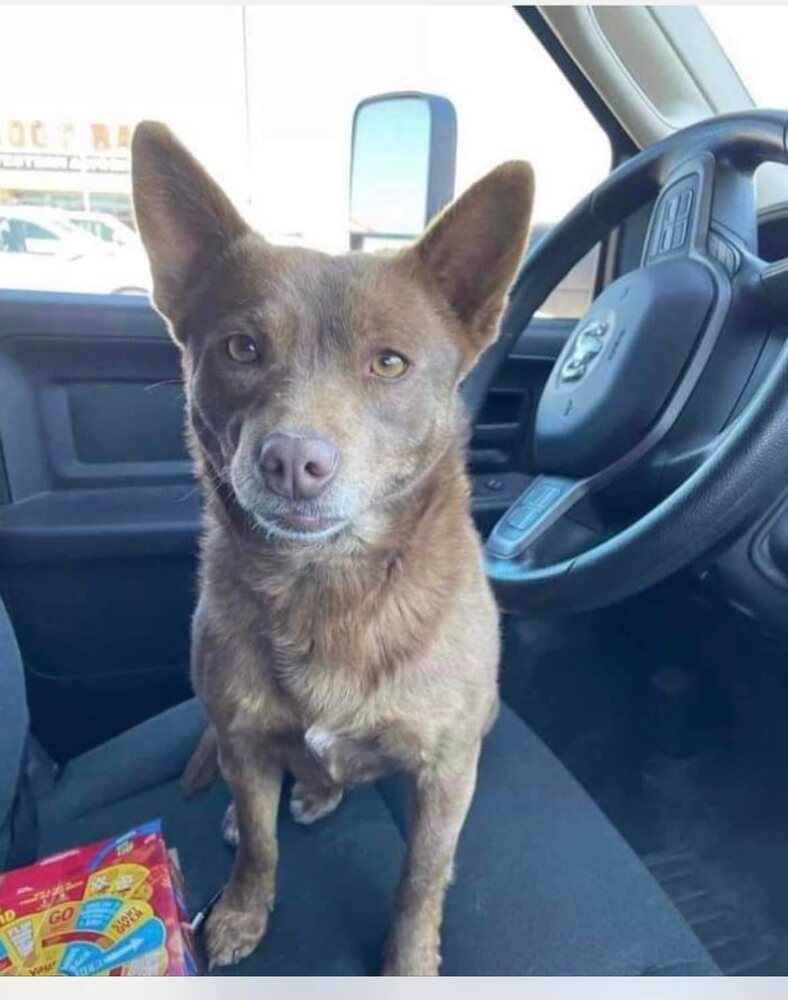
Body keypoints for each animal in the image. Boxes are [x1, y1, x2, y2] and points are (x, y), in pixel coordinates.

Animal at [131, 123, 536, 976]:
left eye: (389, 363)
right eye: (241, 348)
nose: (292, 461)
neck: (327, 589)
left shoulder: (446, 770)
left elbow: (420, 881)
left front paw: (408, 965)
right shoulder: (243, 738)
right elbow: (260, 844)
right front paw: (242, 910)